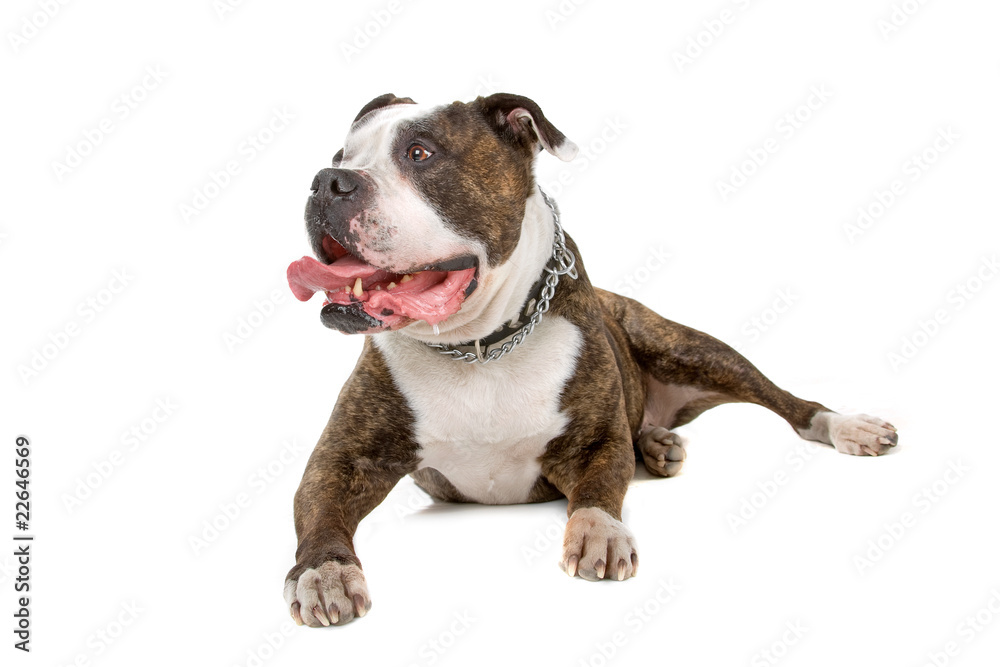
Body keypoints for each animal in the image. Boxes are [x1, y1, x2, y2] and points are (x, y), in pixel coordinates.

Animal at [282, 92, 900, 628]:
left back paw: (845, 426)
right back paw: (658, 444)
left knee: (788, 402)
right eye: (342, 155)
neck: (479, 347)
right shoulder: (344, 459)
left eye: (420, 153)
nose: (326, 180)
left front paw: (599, 532)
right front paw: (325, 574)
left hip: (688, 347)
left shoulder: (595, 441)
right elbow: (318, 510)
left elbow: (601, 489)